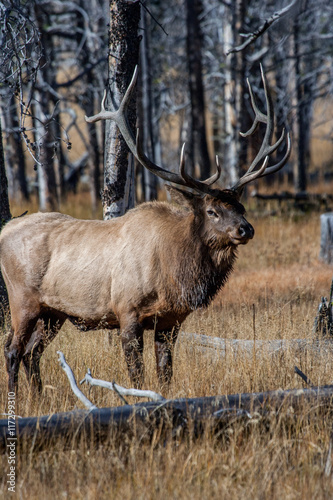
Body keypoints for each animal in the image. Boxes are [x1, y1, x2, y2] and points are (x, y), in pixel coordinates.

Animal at [0, 66, 288, 394]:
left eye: (241, 208)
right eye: (212, 211)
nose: (245, 229)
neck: (174, 273)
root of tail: (5, 229)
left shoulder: (170, 321)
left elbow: (165, 373)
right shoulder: (127, 312)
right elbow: (136, 373)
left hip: (53, 313)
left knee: (32, 352)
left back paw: (37, 396)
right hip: (22, 300)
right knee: (13, 349)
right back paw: (18, 398)